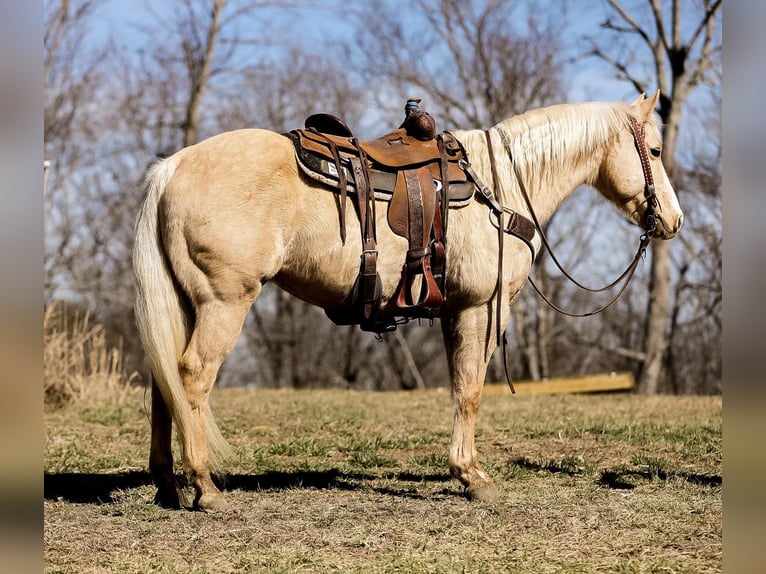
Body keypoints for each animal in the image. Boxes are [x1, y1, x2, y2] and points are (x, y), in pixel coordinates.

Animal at [132, 91, 684, 512]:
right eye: (655, 151)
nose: (673, 221)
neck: (500, 185)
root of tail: (171, 168)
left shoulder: (455, 310)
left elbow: (460, 387)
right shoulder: (480, 308)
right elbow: (470, 390)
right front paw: (471, 476)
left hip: (185, 304)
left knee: (165, 385)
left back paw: (167, 485)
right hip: (224, 303)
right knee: (192, 377)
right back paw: (205, 488)